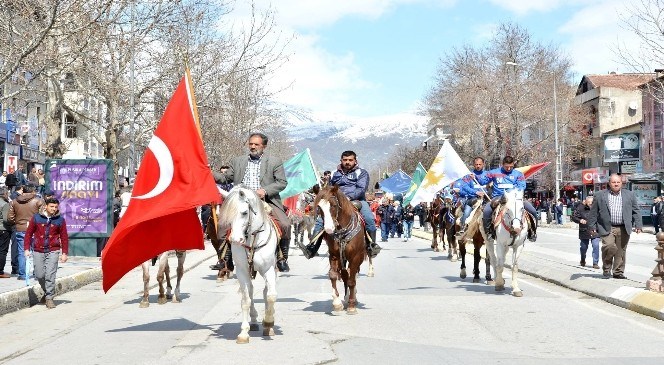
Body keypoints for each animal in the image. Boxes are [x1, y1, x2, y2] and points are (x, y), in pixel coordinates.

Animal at [219, 186, 278, 342]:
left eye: (245, 212)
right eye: (227, 215)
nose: (235, 239)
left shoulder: (268, 269)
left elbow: (271, 296)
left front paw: (268, 322)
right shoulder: (242, 271)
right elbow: (246, 300)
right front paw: (244, 333)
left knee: (266, 291)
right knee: (251, 291)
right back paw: (254, 321)